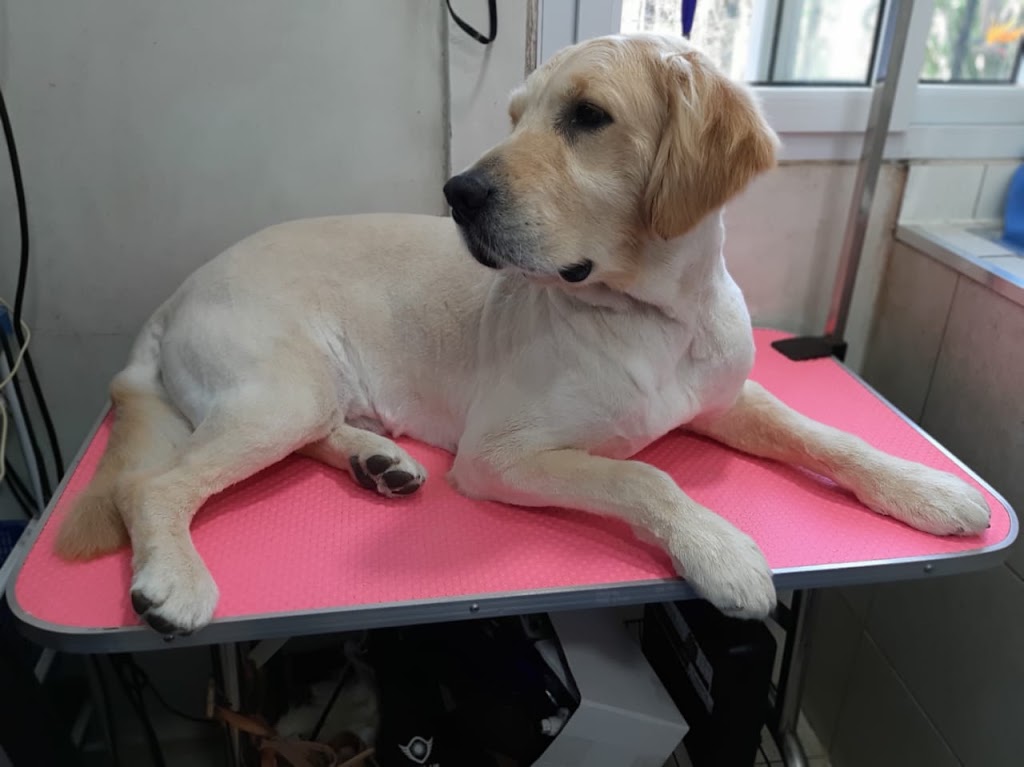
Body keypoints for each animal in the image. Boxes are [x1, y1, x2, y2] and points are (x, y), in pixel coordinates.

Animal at [55, 33, 990, 636]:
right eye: (516, 116)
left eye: (588, 116)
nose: (458, 192)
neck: (655, 316)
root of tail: (173, 297)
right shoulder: (501, 454)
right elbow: (644, 478)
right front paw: (722, 548)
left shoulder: (730, 396)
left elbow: (825, 434)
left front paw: (924, 487)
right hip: (282, 390)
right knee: (153, 484)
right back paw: (174, 575)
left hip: (299, 397)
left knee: (309, 434)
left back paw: (377, 461)